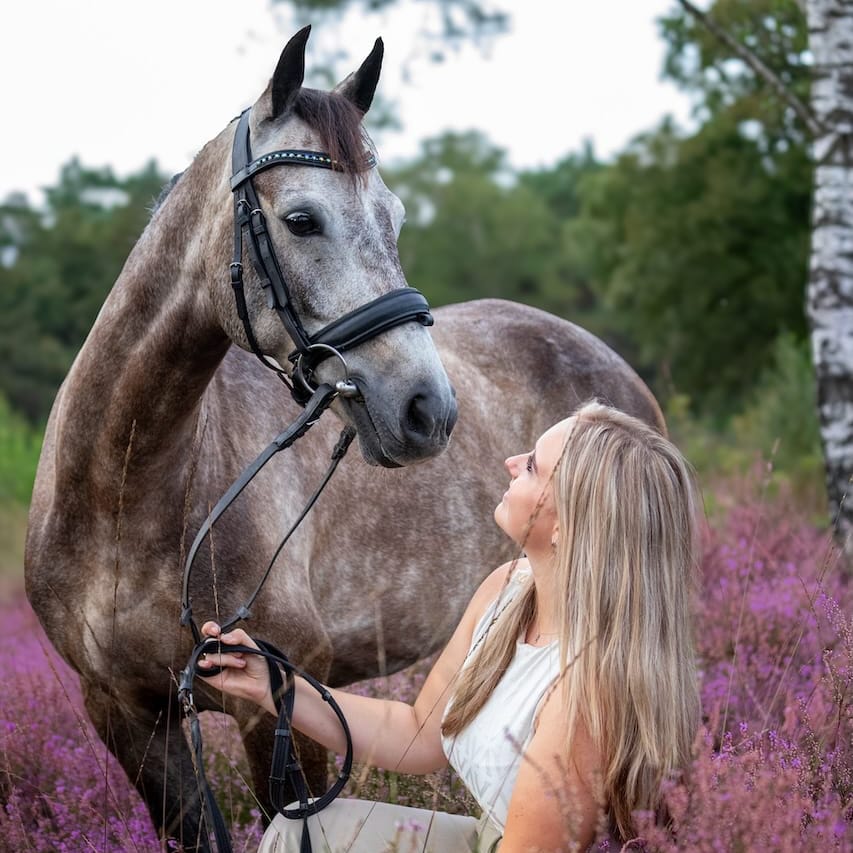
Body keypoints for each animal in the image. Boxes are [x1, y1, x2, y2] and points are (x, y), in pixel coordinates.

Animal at [24, 27, 664, 852]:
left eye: (393, 216)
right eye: (301, 219)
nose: (428, 409)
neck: (125, 495)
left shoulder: (282, 706)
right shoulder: (124, 715)